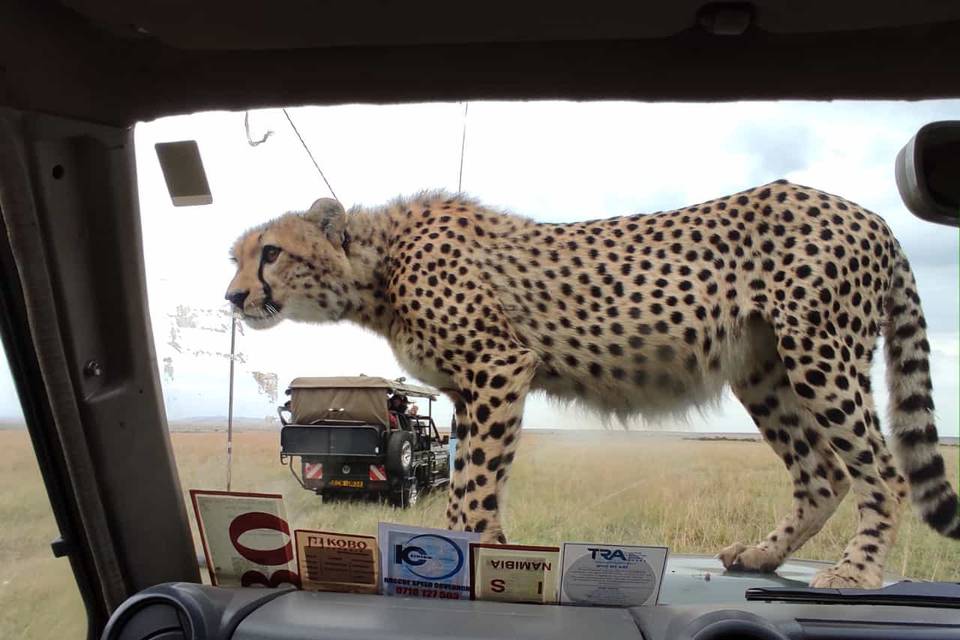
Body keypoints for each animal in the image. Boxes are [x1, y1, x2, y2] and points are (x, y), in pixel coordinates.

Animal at [227, 181, 960, 592]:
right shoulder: (471, 390)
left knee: (881, 471)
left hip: (820, 355)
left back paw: (858, 571)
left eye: (272, 253)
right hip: (764, 371)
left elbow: (471, 489)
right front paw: (491, 556)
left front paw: (466, 556)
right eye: (236, 257)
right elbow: (476, 482)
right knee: (822, 473)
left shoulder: (499, 367)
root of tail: (873, 218)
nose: (234, 296)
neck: (378, 265)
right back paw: (762, 555)